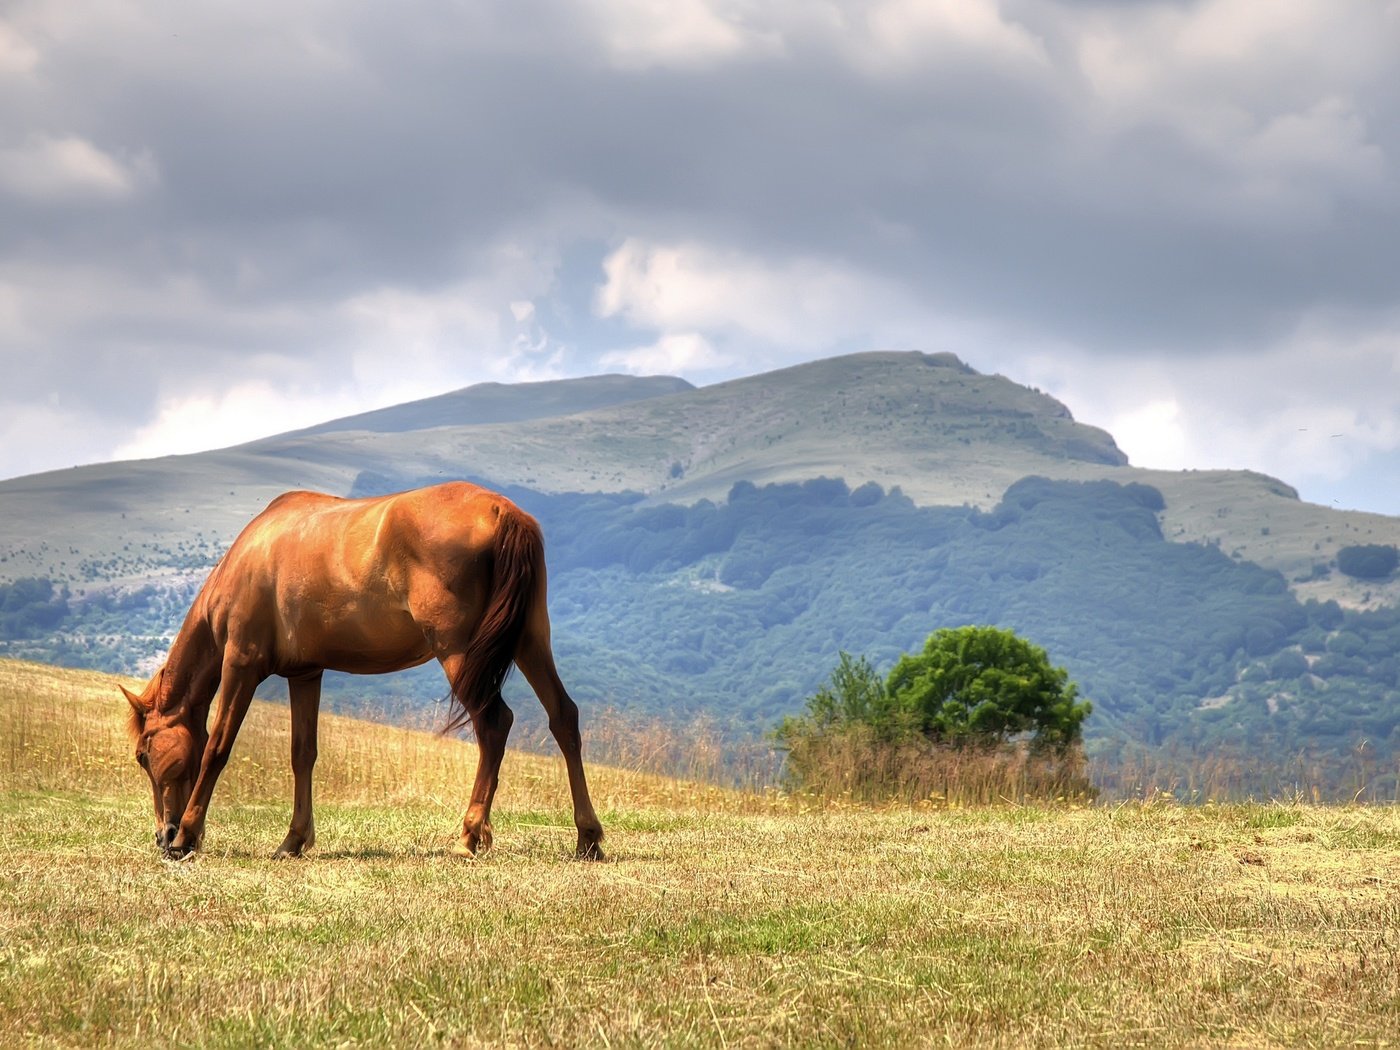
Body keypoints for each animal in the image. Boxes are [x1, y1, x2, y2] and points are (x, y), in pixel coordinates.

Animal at [120, 484, 602, 862]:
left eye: (144, 754)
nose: (162, 835)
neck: (250, 559)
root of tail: (503, 511)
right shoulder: (306, 674)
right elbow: (303, 754)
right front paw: (293, 840)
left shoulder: (241, 664)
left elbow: (217, 748)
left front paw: (187, 836)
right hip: (530, 642)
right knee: (563, 718)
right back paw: (588, 837)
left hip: (459, 653)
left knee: (494, 724)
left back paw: (468, 836)